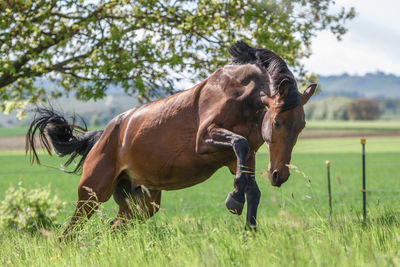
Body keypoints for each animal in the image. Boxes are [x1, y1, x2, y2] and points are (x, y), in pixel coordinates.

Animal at [26, 40, 318, 236]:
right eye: (277, 122)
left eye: (301, 126)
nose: (280, 175)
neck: (238, 94)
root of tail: (101, 137)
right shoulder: (205, 140)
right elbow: (240, 144)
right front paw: (234, 200)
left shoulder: (241, 159)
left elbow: (253, 188)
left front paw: (250, 229)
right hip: (93, 192)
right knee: (70, 231)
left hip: (141, 202)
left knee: (113, 227)